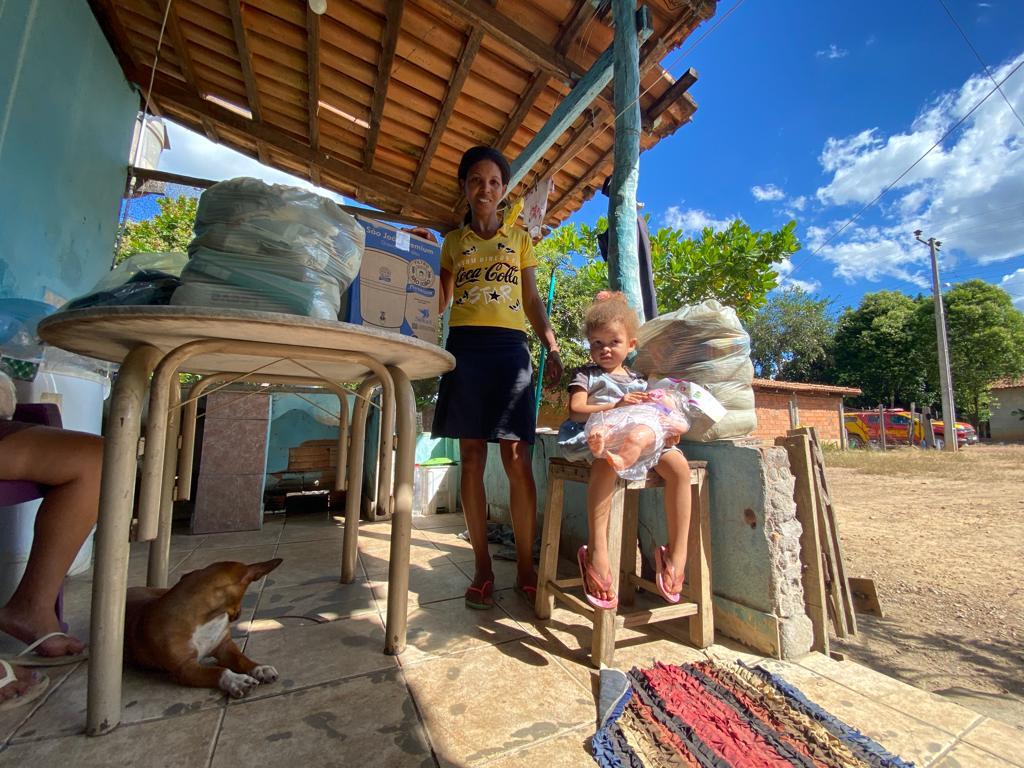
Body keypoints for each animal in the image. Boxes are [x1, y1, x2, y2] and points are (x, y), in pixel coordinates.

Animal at [125, 561, 282, 696]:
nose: (238, 614)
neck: (206, 621)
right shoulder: (185, 668)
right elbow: (219, 671)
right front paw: (236, 680)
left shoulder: (224, 646)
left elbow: (240, 658)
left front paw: (259, 668)